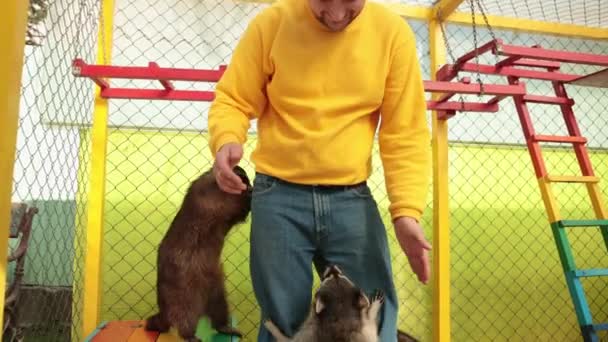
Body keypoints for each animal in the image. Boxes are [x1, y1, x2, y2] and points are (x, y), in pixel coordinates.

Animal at [145, 164, 252, 340]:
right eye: (242, 177)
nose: (247, 182)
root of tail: (163, 309)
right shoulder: (208, 194)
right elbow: (232, 204)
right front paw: (248, 191)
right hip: (185, 294)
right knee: (185, 317)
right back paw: (189, 335)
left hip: (217, 289)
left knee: (219, 311)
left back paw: (225, 327)